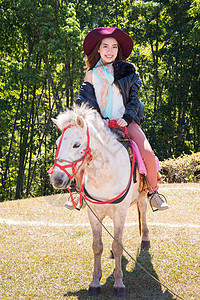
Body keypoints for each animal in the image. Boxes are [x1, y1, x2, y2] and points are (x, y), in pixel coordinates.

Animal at [48, 105, 148, 298]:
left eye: (76, 144)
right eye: (57, 143)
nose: (57, 179)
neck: (106, 173)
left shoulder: (120, 213)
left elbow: (118, 245)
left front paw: (118, 284)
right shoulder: (93, 214)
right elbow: (97, 246)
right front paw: (95, 283)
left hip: (143, 195)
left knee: (144, 211)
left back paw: (146, 239)